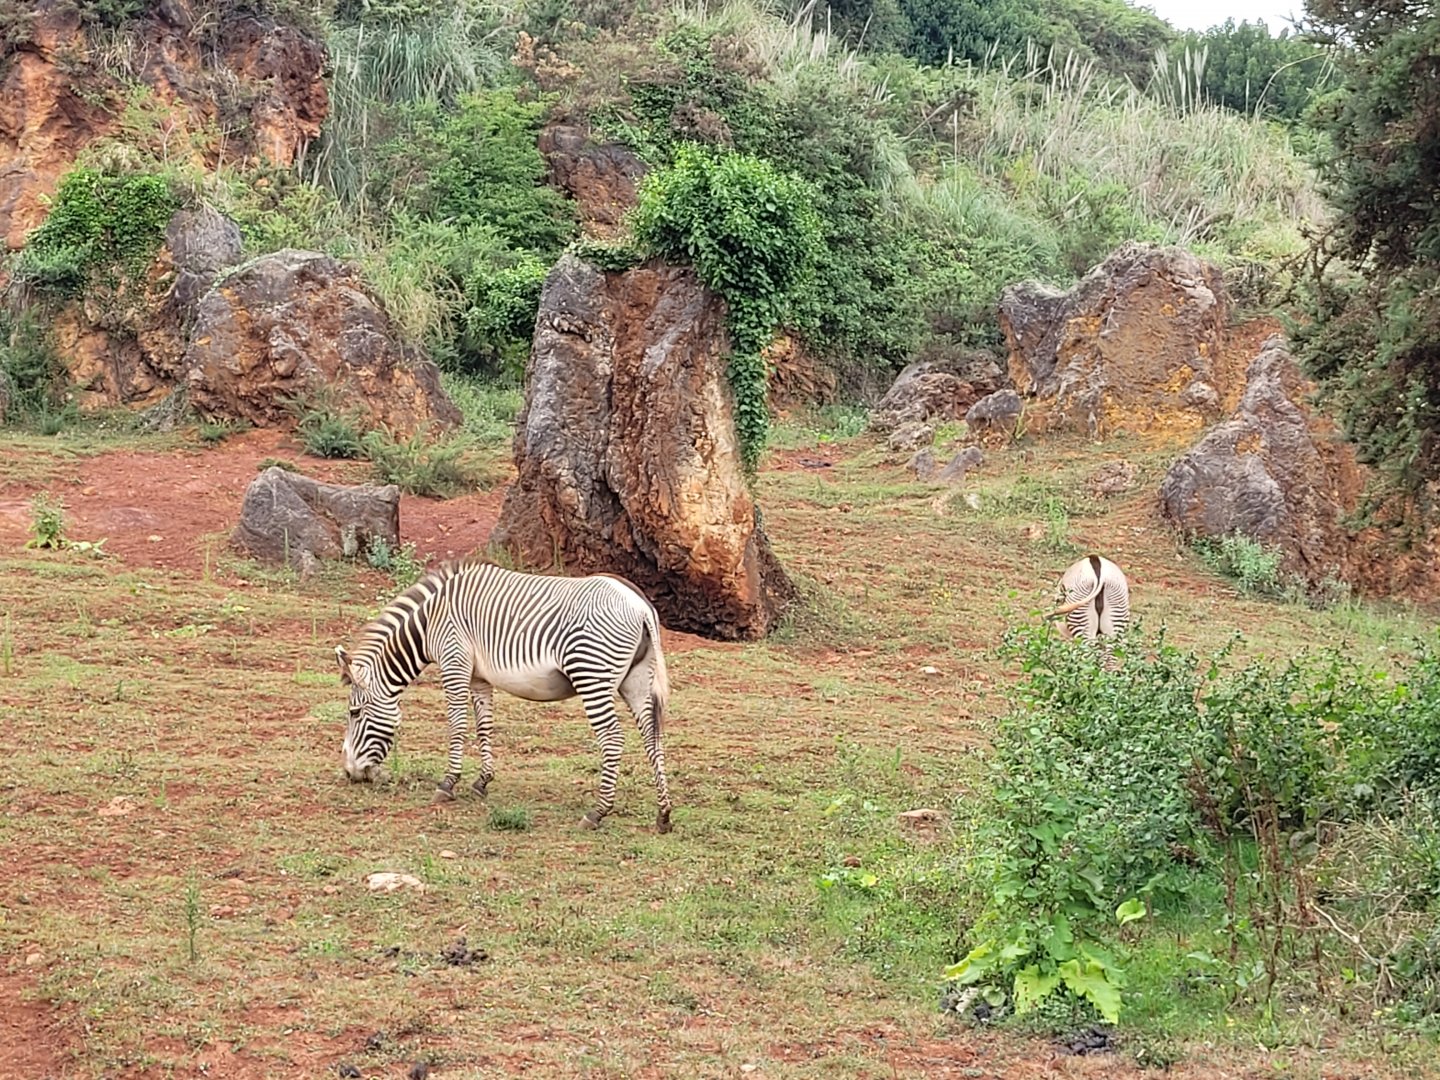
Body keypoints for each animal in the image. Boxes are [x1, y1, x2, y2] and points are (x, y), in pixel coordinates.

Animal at [335, 560, 674, 833]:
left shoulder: (454, 663)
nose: (351, 773)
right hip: (636, 679)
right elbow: (484, 726)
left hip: (592, 675)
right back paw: (663, 815)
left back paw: (597, 812)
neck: (431, 619)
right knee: (652, 737)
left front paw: (448, 783)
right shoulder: (479, 678)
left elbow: (457, 725)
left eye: (354, 712)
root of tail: (641, 605)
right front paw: (482, 781)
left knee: (613, 739)